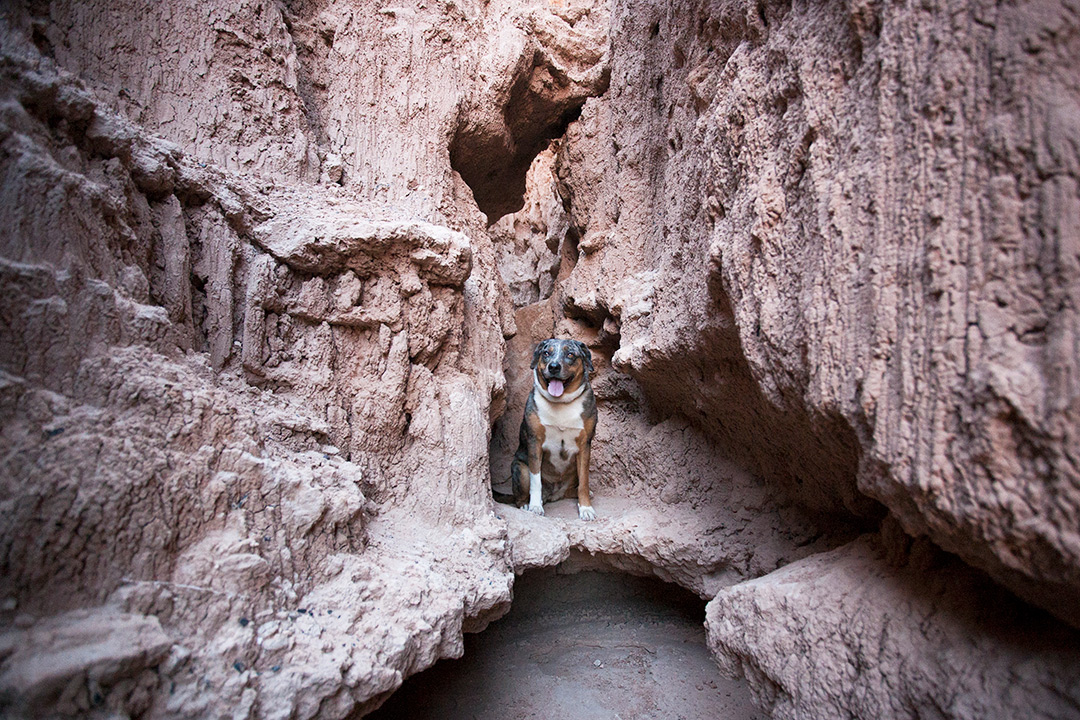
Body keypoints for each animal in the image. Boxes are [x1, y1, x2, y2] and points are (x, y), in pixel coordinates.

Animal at [507, 338, 596, 518]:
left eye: (570, 354)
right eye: (546, 353)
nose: (554, 367)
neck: (561, 403)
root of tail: (555, 494)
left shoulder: (585, 445)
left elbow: (584, 481)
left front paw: (585, 508)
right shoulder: (535, 442)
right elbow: (535, 480)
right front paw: (535, 506)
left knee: (573, 489)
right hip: (520, 468)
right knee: (520, 496)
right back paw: (526, 504)